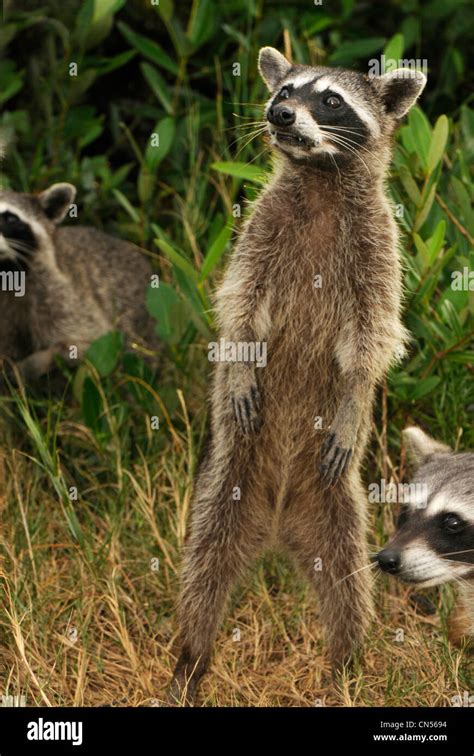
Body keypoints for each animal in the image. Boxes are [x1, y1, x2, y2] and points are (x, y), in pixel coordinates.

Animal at [169, 48, 426, 704]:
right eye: (285, 90)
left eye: (330, 99)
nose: (278, 113)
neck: (320, 177)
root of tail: (280, 517)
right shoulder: (259, 230)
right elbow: (238, 304)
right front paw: (237, 364)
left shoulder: (379, 246)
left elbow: (373, 338)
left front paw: (357, 396)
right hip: (227, 482)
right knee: (204, 569)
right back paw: (191, 658)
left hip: (338, 501)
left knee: (348, 582)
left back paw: (346, 661)